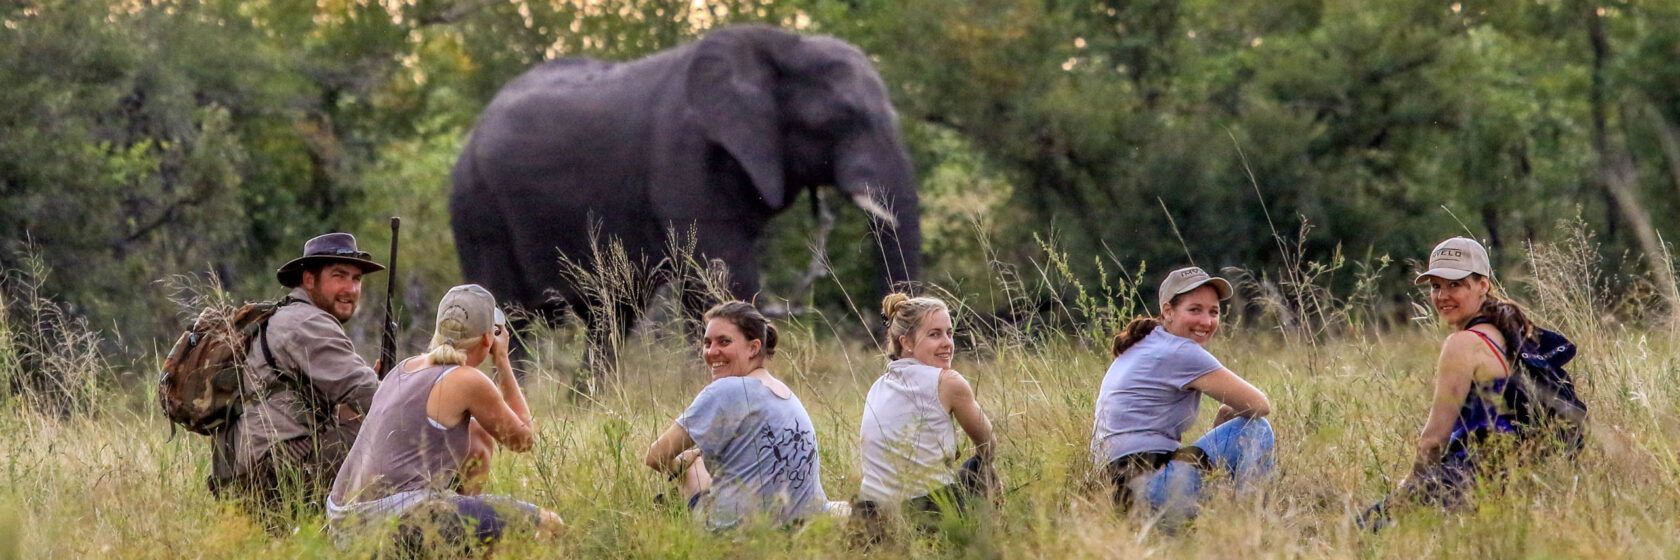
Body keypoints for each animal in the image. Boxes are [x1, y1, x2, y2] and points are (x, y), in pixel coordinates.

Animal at [450, 26, 920, 366]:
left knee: (610, 318)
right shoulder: (686, 155)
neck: (780, 47)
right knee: (508, 317)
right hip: (477, 210)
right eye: (845, 118)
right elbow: (722, 279)